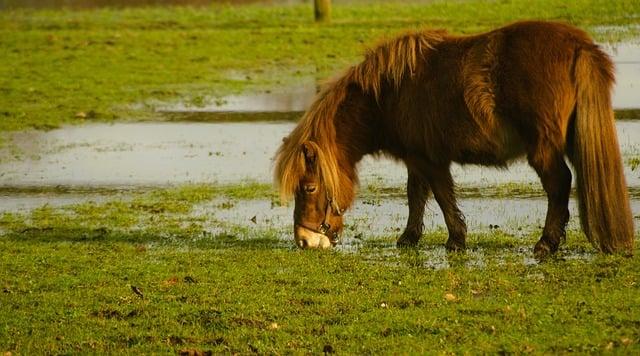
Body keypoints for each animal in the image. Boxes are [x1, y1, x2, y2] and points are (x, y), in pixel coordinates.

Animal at [272, 20, 632, 256]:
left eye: (309, 188)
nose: (304, 241)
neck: (389, 93)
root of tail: (578, 46)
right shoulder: (416, 159)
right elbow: (416, 196)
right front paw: (409, 238)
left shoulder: (430, 160)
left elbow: (442, 197)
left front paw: (456, 241)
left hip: (543, 148)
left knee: (559, 184)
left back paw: (546, 243)